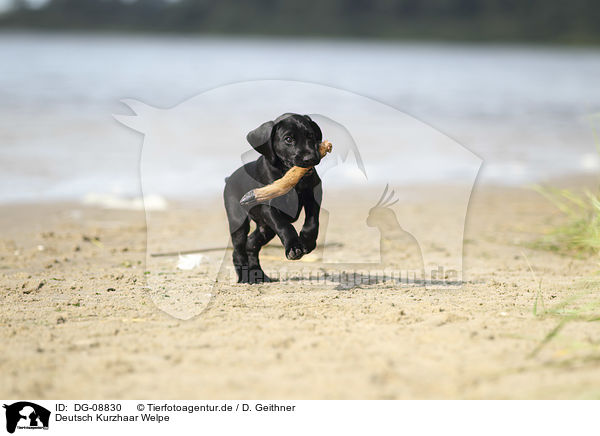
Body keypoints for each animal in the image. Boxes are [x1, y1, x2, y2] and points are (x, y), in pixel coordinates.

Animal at [224, 113, 324, 282]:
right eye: (288, 139)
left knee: (251, 245)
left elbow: (312, 222)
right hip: (238, 221)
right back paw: (245, 277)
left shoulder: (313, 193)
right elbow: (284, 225)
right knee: (238, 251)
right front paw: (294, 246)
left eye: (310, 135)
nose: (310, 158)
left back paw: (258, 275)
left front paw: (307, 241)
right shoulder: (268, 207)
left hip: (265, 228)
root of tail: (229, 178)